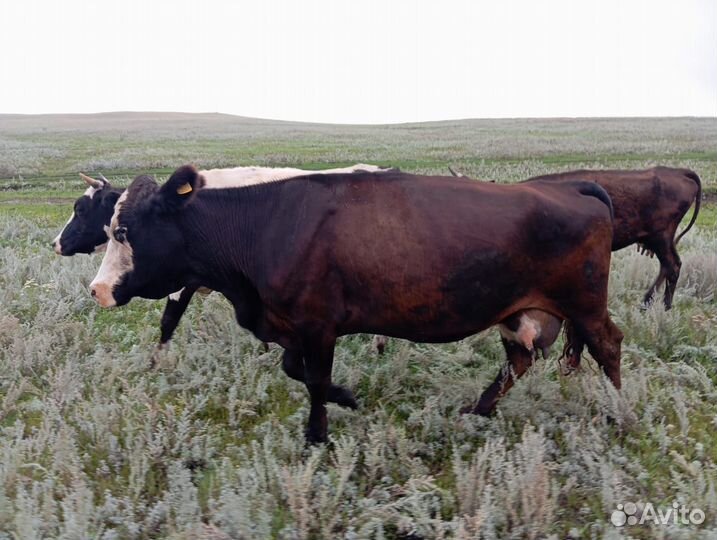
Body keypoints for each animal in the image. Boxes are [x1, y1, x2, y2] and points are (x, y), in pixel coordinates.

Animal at [89, 165, 623, 443]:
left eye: (123, 231)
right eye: (108, 228)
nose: (98, 290)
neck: (263, 227)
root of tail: (570, 185)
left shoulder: (318, 324)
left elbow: (313, 380)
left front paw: (318, 435)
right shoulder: (292, 325)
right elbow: (295, 370)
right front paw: (346, 398)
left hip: (584, 305)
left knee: (608, 345)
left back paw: (617, 411)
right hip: (516, 311)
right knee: (518, 359)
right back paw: (477, 411)